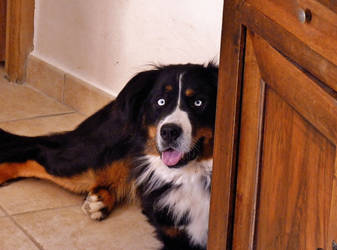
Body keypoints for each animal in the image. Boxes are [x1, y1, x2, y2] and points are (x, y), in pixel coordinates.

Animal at [0, 63, 217, 250]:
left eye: (199, 102)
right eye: (160, 102)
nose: (169, 131)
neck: (193, 177)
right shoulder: (173, 234)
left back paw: (100, 201)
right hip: (83, 161)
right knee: (38, 151)